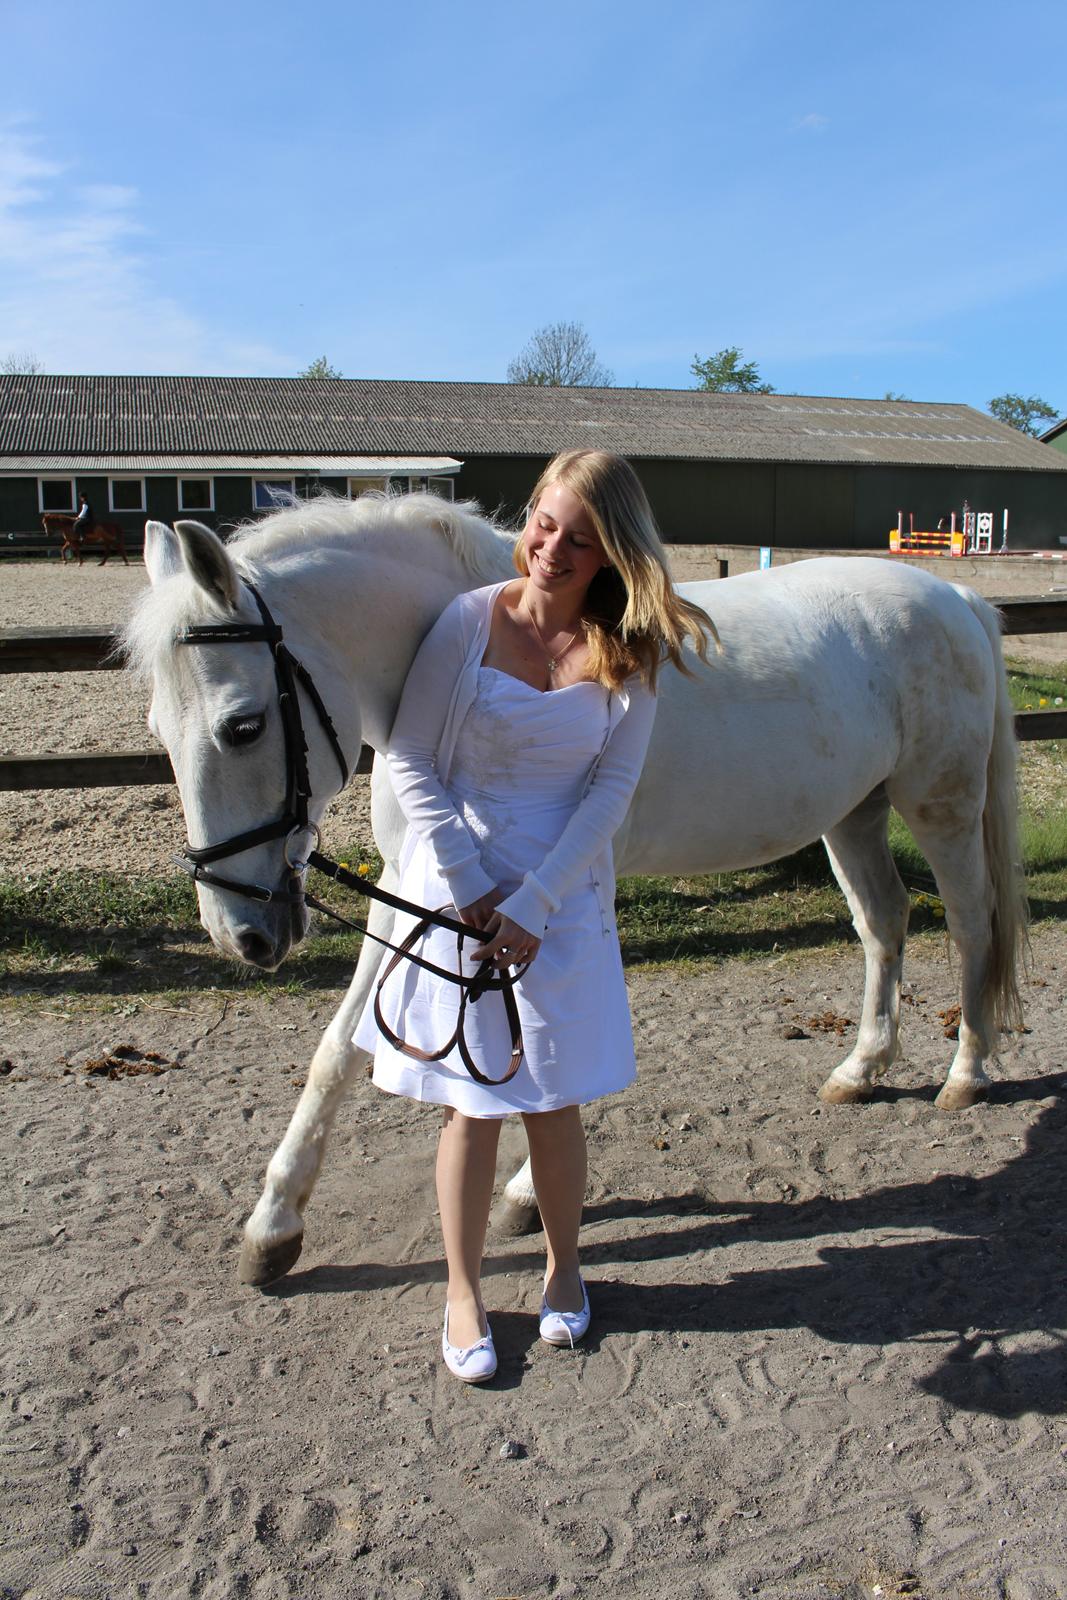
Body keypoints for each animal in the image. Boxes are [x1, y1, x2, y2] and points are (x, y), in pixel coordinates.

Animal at [123, 499, 1023, 1286]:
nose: (240, 932)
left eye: (242, 726)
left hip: (939, 808)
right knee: (882, 924)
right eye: (158, 731)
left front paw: (526, 1193)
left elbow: (550, 1043)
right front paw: (273, 1225)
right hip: (853, 815)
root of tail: (955, 598)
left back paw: (966, 1073)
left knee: (970, 928)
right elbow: (338, 1051)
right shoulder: (412, 885)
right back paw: (861, 1067)